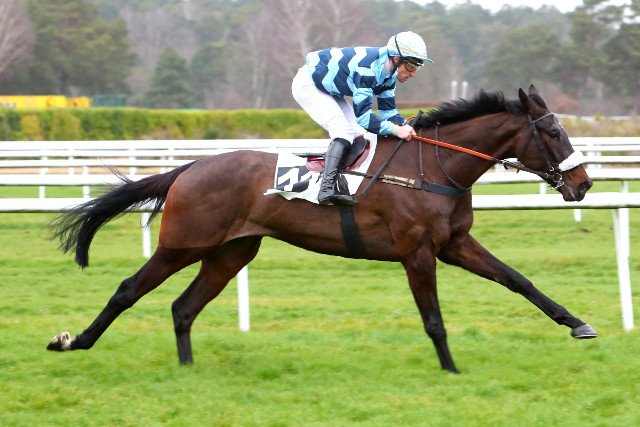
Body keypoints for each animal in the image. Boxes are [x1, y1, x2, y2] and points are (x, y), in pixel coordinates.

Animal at [47, 85, 596, 374]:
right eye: (553, 132)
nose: (585, 184)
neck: (434, 167)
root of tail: (189, 168)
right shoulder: (417, 250)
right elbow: (433, 318)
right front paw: (451, 368)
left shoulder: (455, 245)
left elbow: (518, 279)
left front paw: (576, 323)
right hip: (183, 243)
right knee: (127, 289)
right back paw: (73, 342)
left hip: (231, 252)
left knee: (183, 307)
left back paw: (188, 368)